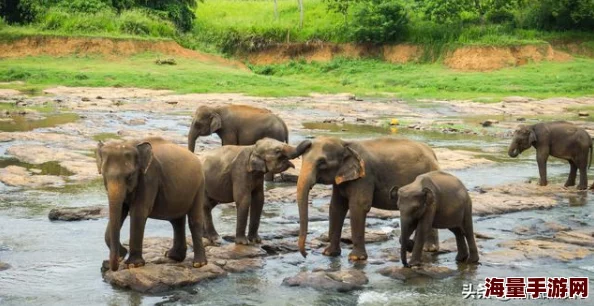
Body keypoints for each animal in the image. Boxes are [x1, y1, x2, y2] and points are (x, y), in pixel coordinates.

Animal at [96, 137, 207, 272]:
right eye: (103, 174)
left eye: (129, 176)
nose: (113, 263)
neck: (131, 144)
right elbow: (121, 210)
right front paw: (122, 255)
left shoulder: (149, 178)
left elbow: (138, 212)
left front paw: (133, 264)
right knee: (177, 221)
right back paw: (173, 256)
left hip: (199, 186)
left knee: (194, 220)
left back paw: (199, 264)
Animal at [294, 136, 440, 260]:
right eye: (302, 159)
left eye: (321, 162)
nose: (306, 255)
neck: (345, 143)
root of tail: (433, 154)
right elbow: (336, 207)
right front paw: (329, 253)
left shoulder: (365, 177)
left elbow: (358, 206)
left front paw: (356, 258)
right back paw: (428, 248)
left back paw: (429, 248)